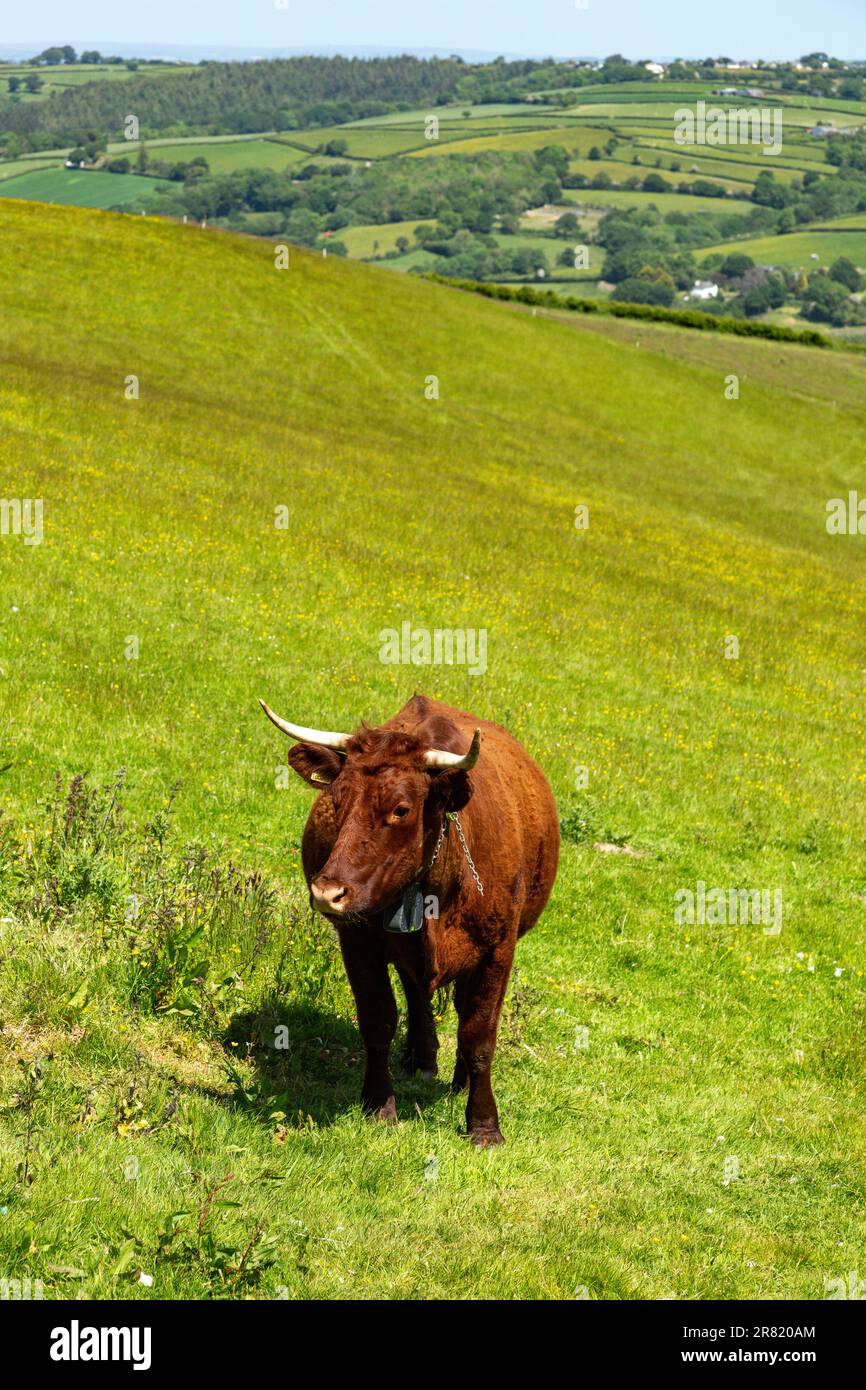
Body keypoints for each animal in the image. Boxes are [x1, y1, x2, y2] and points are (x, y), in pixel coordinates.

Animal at [261, 692, 558, 1139]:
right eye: (336, 800)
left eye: (401, 810)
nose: (327, 893)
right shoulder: (358, 941)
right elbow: (378, 1019)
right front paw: (378, 1103)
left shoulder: (498, 950)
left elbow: (478, 1035)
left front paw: (483, 1124)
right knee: (416, 990)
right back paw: (421, 1058)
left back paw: (457, 1080)